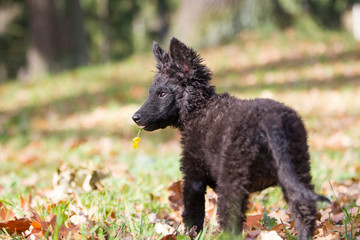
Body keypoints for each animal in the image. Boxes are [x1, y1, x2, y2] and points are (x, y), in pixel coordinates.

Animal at [132, 38, 330, 240]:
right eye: (151, 92)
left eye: (162, 94)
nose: (135, 117)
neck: (200, 108)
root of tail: (271, 120)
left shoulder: (193, 177)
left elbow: (193, 217)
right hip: (298, 171)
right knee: (305, 211)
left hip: (233, 182)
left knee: (231, 224)